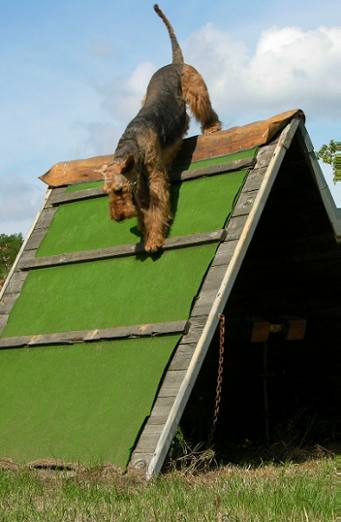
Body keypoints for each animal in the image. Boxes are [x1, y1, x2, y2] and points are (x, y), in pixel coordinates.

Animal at [101, 4, 222, 252]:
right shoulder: (140, 184)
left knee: (206, 111)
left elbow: (156, 209)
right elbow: (144, 211)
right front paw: (146, 233)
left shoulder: (155, 178)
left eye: (118, 190)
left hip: (196, 90)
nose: (117, 217)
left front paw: (154, 240)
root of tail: (174, 62)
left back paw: (212, 128)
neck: (132, 142)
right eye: (106, 193)